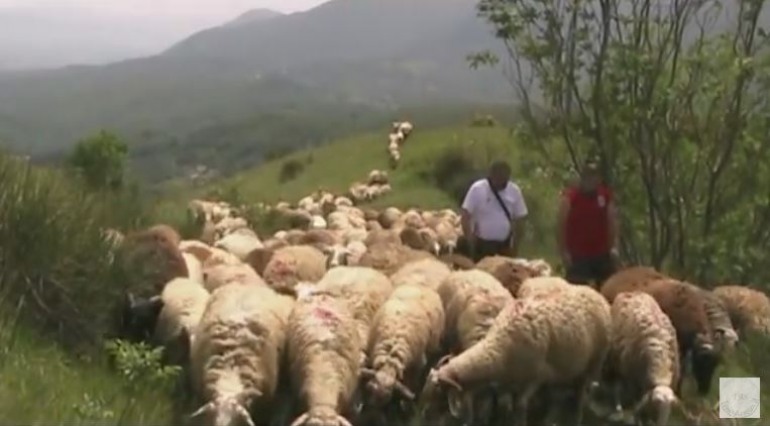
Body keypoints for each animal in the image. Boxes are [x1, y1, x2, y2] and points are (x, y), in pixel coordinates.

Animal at [424, 282, 608, 426]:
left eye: (439, 395)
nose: (423, 418)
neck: (498, 348)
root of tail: (596, 293)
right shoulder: (511, 382)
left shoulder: (535, 378)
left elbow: (520, 407)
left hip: (594, 362)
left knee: (582, 396)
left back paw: (576, 417)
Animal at [600, 292, 680, 426]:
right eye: (657, 404)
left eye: (670, 408)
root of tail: (634, 292)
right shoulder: (634, 382)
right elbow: (638, 407)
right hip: (615, 361)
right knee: (616, 386)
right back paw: (617, 409)